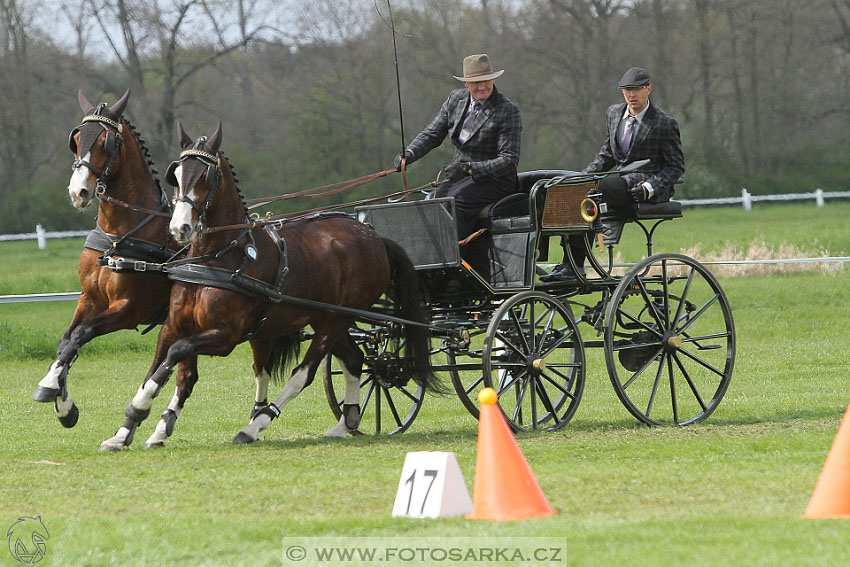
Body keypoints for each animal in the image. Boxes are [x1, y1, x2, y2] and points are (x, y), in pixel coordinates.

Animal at [31, 89, 182, 426]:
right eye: (76, 139)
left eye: (106, 142)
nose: (78, 192)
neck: (118, 236)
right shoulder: (90, 298)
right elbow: (67, 341)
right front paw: (64, 405)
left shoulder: (129, 309)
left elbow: (82, 334)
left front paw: (49, 386)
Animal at [97, 122, 438, 450]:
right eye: (177, 175)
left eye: (207, 176)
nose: (180, 228)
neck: (218, 257)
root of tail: (373, 236)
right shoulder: (175, 325)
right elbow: (164, 368)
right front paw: (127, 432)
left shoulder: (225, 336)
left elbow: (175, 357)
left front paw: (139, 411)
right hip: (328, 318)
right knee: (354, 361)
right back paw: (345, 423)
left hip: (335, 320)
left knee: (304, 374)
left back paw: (255, 426)